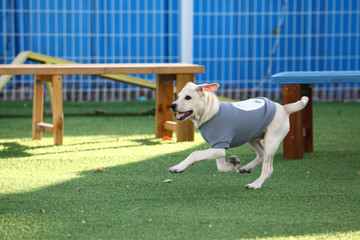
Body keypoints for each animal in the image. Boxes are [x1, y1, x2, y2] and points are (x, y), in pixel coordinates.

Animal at [168, 82, 306, 189]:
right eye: (178, 96)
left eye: (188, 97)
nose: (172, 105)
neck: (211, 113)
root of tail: (284, 108)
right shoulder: (218, 147)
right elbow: (221, 167)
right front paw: (233, 164)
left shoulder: (219, 145)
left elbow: (194, 153)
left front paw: (178, 168)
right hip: (252, 136)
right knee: (261, 154)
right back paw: (246, 168)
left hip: (271, 140)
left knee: (268, 169)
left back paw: (255, 184)